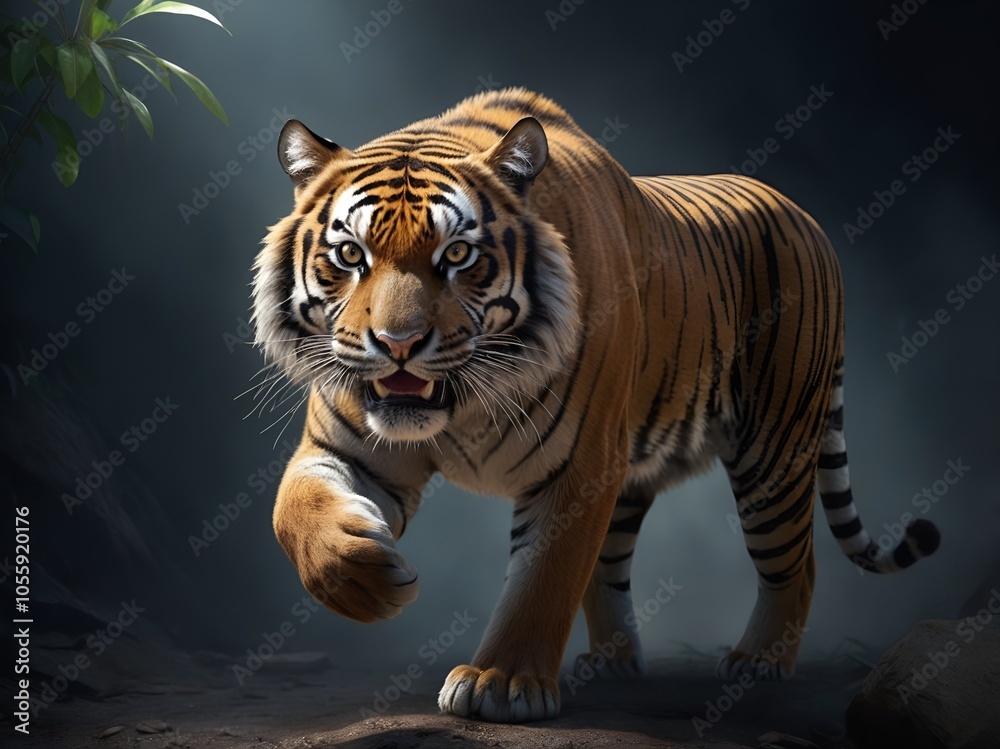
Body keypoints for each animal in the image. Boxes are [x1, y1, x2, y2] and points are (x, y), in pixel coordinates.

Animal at [251, 87, 940, 723]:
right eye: (350, 255)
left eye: (457, 254)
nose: (397, 345)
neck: (465, 405)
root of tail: (803, 214)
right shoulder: (346, 449)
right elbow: (294, 510)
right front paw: (362, 579)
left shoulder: (578, 467)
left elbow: (546, 577)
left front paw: (501, 683)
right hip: (637, 470)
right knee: (610, 566)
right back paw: (612, 663)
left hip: (773, 453)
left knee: (797, 563)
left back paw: (758, 663)